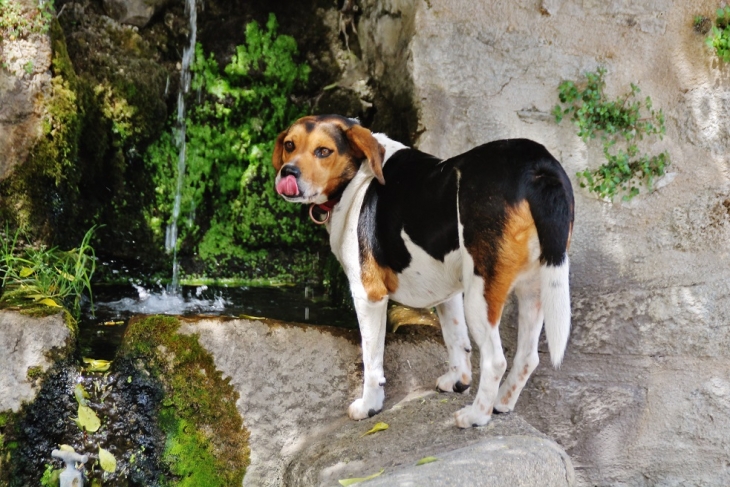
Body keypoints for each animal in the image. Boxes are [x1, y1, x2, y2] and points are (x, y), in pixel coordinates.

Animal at [270, 114, 572, 428]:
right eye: (290, 145)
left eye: (323, 151)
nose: (288, 173)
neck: (357, 177)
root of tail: (537, 166)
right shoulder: (450, 290)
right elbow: (456, 339)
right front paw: (458, 381)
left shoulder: (369, 296)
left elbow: (372, 360)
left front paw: (369, 406)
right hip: (534, 290)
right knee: (527, 357)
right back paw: (502, 402)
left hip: (481, 295)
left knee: (495, 360)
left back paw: (476, 415)